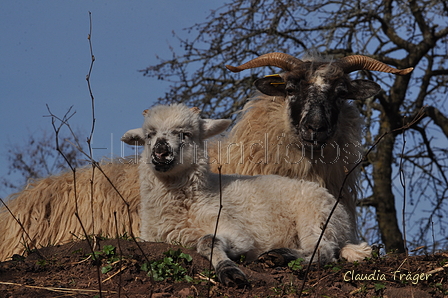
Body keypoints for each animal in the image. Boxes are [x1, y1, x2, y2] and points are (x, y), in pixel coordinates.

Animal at [119, 103, 372, 288]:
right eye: (149, 135)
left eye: (185, 134)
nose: (160, 151)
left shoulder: (234, 230)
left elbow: (208, 241)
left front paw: (230, 271)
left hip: (316, 215)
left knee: (323, 250)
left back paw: (282, 256)